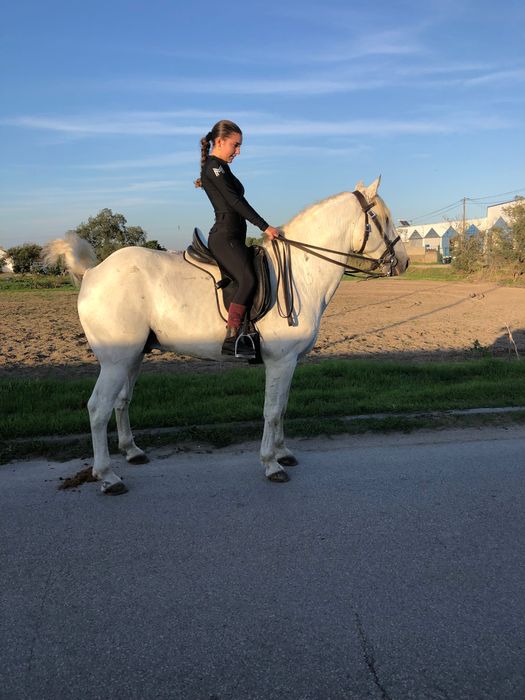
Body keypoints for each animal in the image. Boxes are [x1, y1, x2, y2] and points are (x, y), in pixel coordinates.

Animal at [44, 177, 408, 494]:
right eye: (384, 219)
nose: (403, 262)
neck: (300, 272)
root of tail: (93, 272)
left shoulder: (290, 362)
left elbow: (282, 407)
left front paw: (283, 452)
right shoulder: (281, 361)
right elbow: (271, 410)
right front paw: (271, 464)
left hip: (132, 357)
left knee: (121, 401)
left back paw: (132, 452)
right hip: (115, 361)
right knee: (98, 408)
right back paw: (108, 477)